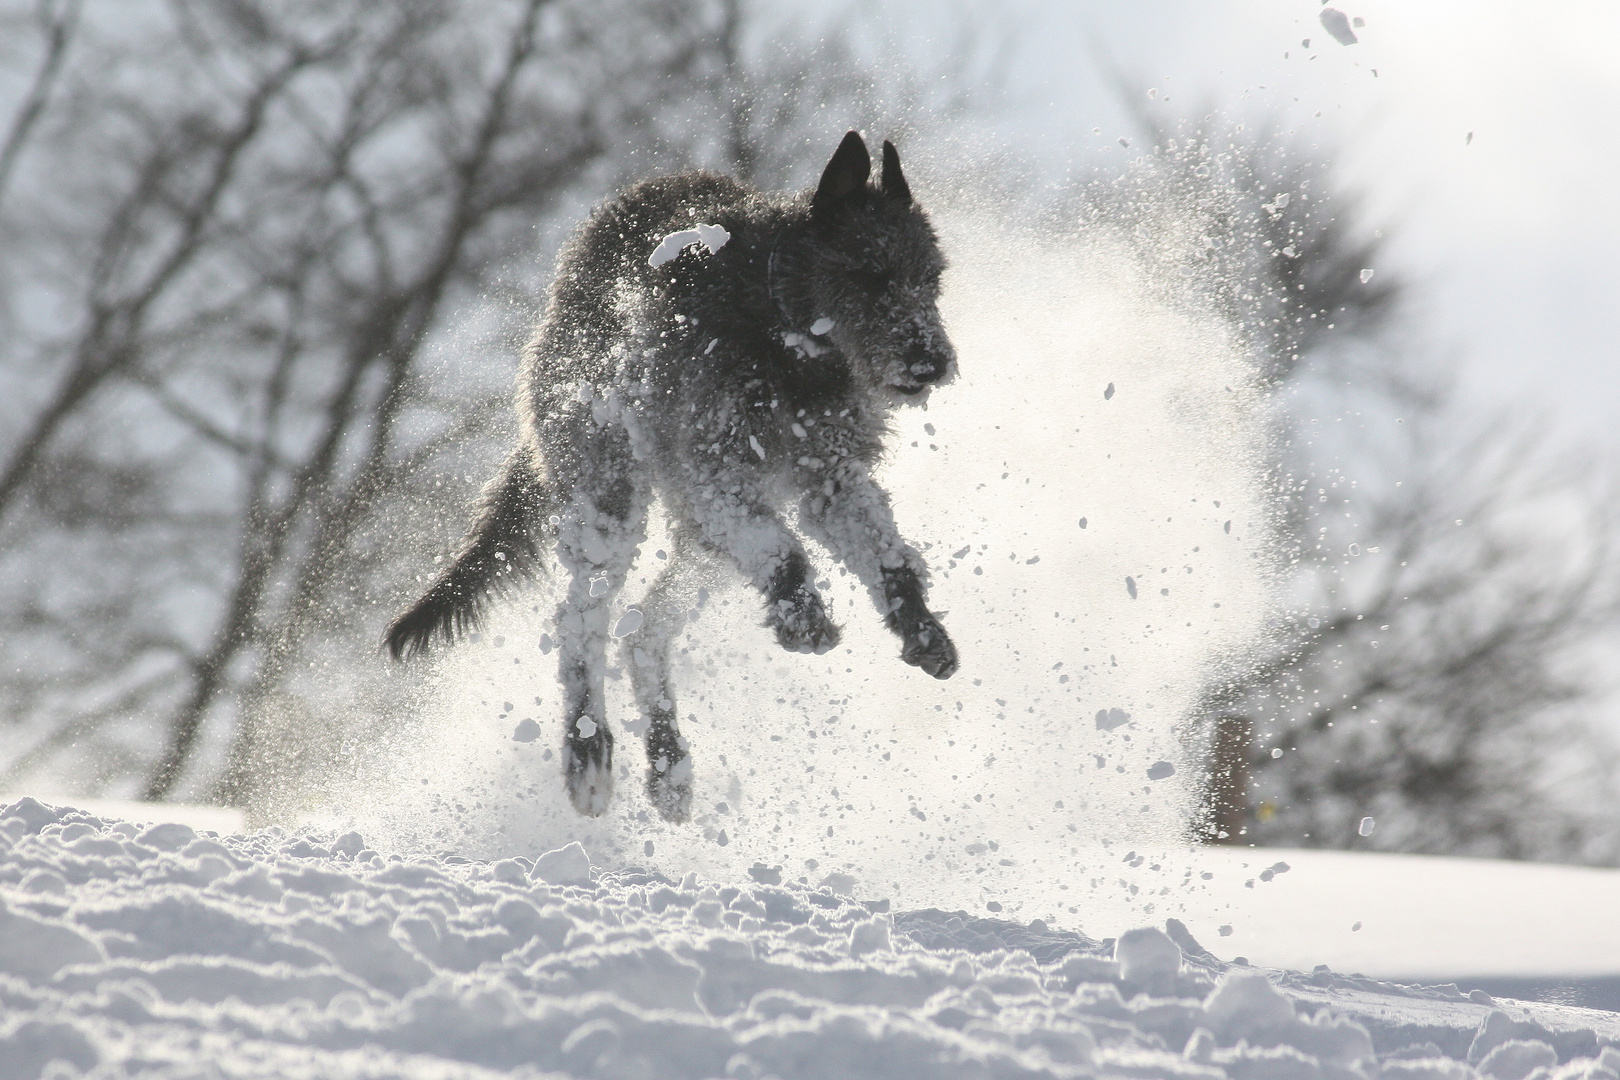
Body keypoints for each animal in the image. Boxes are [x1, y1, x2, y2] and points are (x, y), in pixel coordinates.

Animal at [383, 132, 952, 819]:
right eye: (871, 276)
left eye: (930, 279)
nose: (932, 362)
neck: (783, 332)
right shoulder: (711, 478)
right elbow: (783, 550)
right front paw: (802, 615)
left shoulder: (831, 480)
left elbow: (885, 553)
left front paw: (919, 624)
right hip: (609, 497)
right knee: (581, 621)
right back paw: (587, 749)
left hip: (699, 553)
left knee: (644, 628)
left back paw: (667, 759)